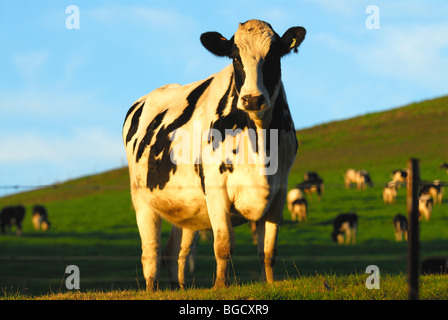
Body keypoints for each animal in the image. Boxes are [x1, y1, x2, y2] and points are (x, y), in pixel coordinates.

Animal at [121, 19, 304, 290]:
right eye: (235, 57)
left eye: (273, 56)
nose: (252, 99)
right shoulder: (216, 186)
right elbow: (224, 243)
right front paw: (220, 286)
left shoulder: (279, 190)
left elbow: (268, 250)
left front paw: (269, 283)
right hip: (141, 198)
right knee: (151, 251)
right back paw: (152, 289)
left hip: (187, 208)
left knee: (176, 251)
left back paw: (179, 288)